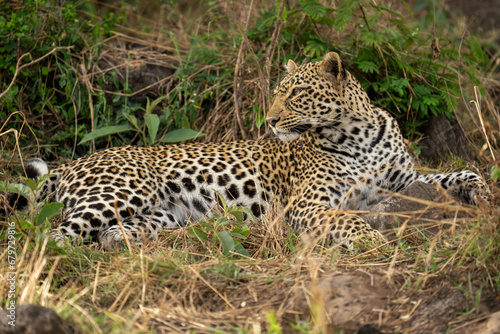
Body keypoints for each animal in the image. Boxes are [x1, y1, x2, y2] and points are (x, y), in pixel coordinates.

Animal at [12, 52, 492, 249]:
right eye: (278, 92)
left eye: (296, 93)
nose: (270, 120)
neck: (359, 133)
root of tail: (75, 162)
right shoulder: (308, 204)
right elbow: (347, 216)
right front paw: (370, 237)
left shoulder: (405, 180)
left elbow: (460, 173)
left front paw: (485, 196)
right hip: (120, 192)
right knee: (54, 234)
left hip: (158, 211)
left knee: (111, 233)